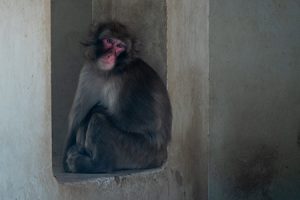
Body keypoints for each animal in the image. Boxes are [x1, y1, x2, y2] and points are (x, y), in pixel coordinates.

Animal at [63, 21, 171, 173]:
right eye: (109, 41)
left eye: (120, 46)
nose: (110, 56)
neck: (107, 73)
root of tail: (161, 156)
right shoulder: (87, 72)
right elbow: (76, 121)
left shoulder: (129, 80)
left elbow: (150, 122)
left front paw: (88, 118)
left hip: (138, 152)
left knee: (98, 119)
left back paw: (97, 164)